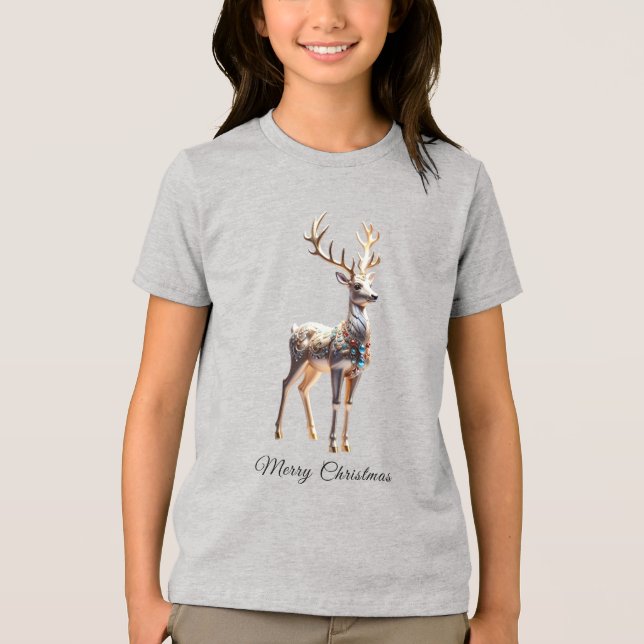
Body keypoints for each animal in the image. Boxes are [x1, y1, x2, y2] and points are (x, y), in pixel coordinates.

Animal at [275, 211, 381, 453]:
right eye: (356, 286)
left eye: (369, 284)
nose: (375, 295)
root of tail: (295, 328)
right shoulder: (337, 366)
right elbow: (335, 401)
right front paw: (332, 444)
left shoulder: (358, 372)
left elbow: (349, 403)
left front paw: (346, 443)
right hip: (298, 359)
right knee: (286, 382)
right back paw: (278, 432)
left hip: (313, 368)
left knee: (303, 388)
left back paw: (313, 434)